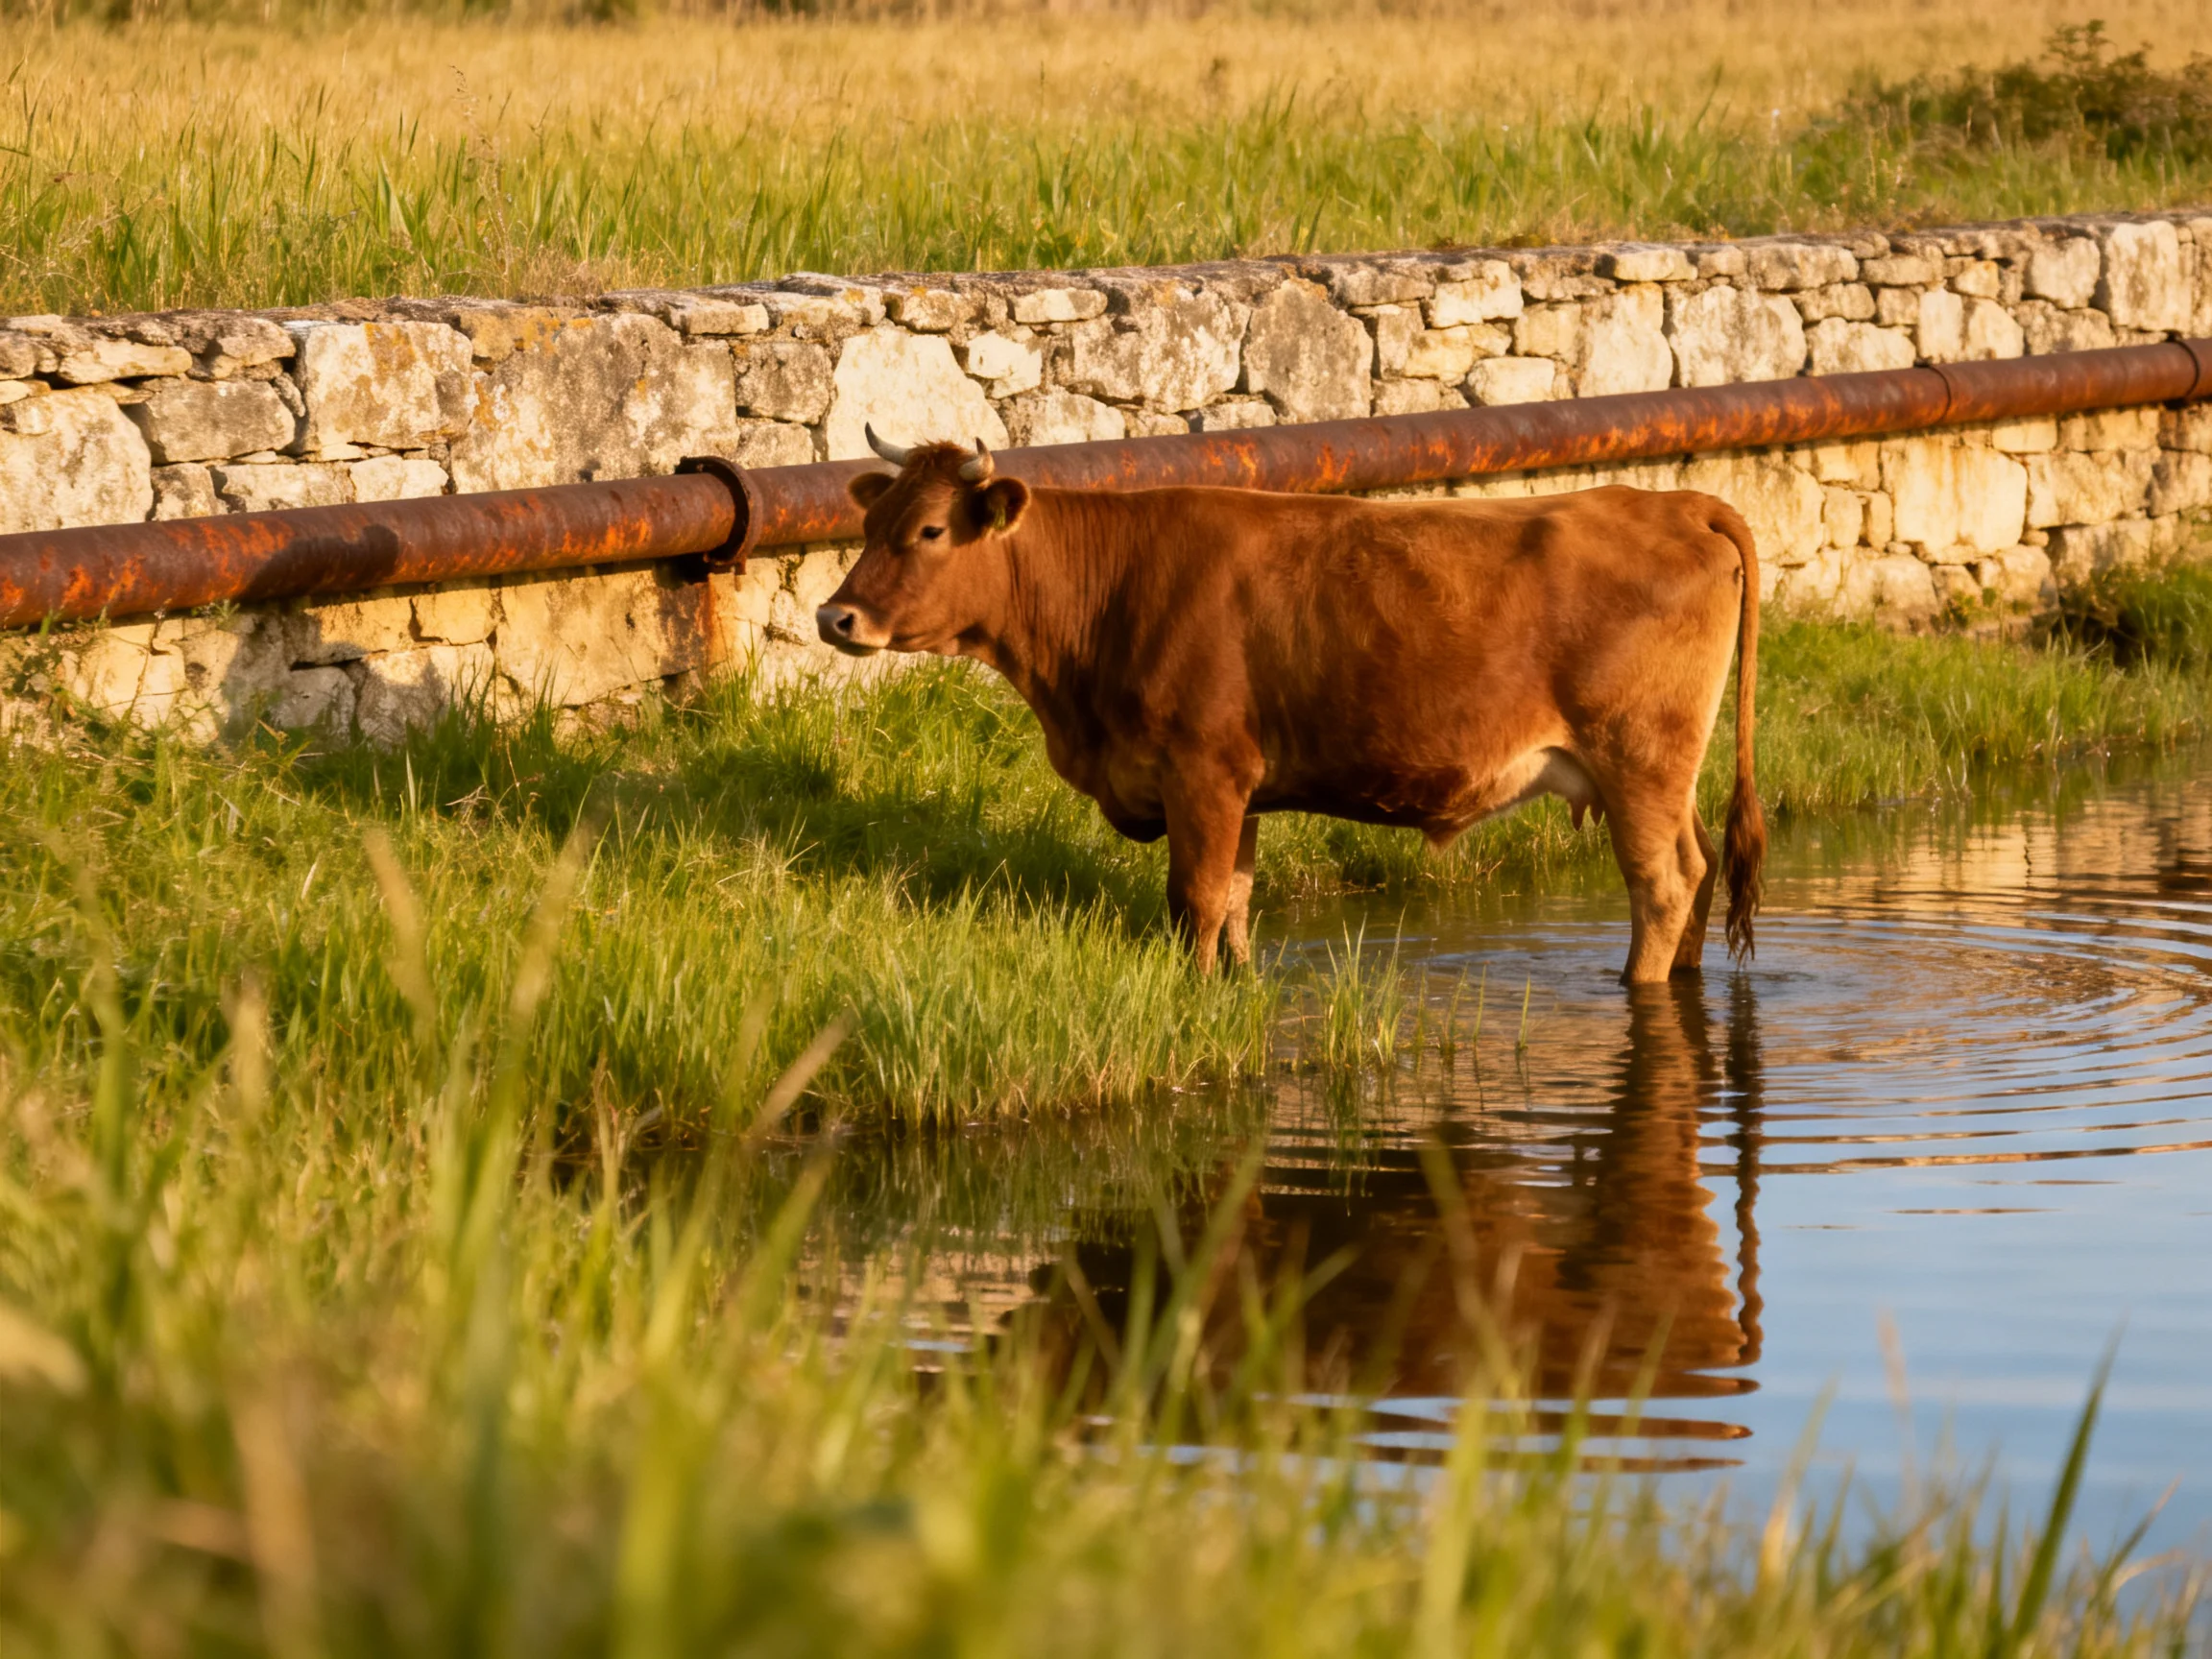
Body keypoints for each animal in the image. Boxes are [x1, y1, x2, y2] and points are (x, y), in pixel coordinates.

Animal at [816, 429, 1765, 983]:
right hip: (1658, 774)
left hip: (1637, 759)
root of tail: (1678, 501)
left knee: (1663, 883)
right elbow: (1235, 902)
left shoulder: (1202, 771)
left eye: (930, 530)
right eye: (869, 525)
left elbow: (1194, 900)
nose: (835, 617)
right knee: (1702, 866)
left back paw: (1637, 986)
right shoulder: (1237, 789)